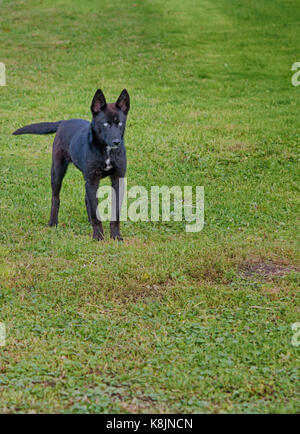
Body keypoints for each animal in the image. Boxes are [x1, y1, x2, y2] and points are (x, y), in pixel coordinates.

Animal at [13, 88, 130, 241]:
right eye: (106, 124)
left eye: (120, 123)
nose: (116, 142)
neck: (107, 152)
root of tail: (63, 122)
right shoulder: (92, 180)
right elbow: (95, 212)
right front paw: (98, 236)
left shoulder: (117, 179)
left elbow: (115, 213)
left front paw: (116, 236)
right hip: (57, 170)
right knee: (55, 198)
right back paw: (53, 223)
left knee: (86, 198)